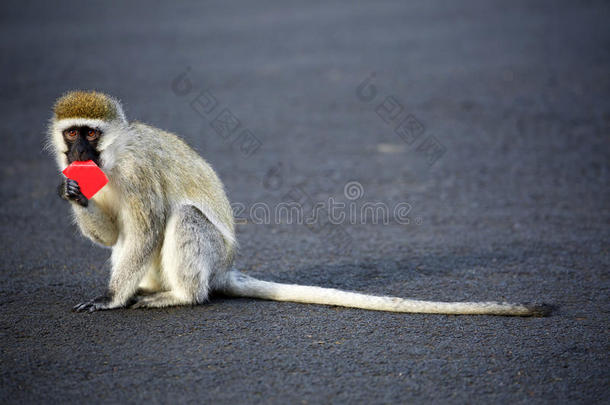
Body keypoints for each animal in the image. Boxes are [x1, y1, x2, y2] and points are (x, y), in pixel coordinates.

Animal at [47, 91, 548, 316]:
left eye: (90, 133)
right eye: (71, 135)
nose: (78, 153)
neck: (112, 159)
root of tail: (224, 270)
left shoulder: (138, 169)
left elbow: (147, 228)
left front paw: (110, 298)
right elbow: (116, 234)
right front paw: (73, 192)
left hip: (208, 259)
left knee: (184, 219)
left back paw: (178, 296)